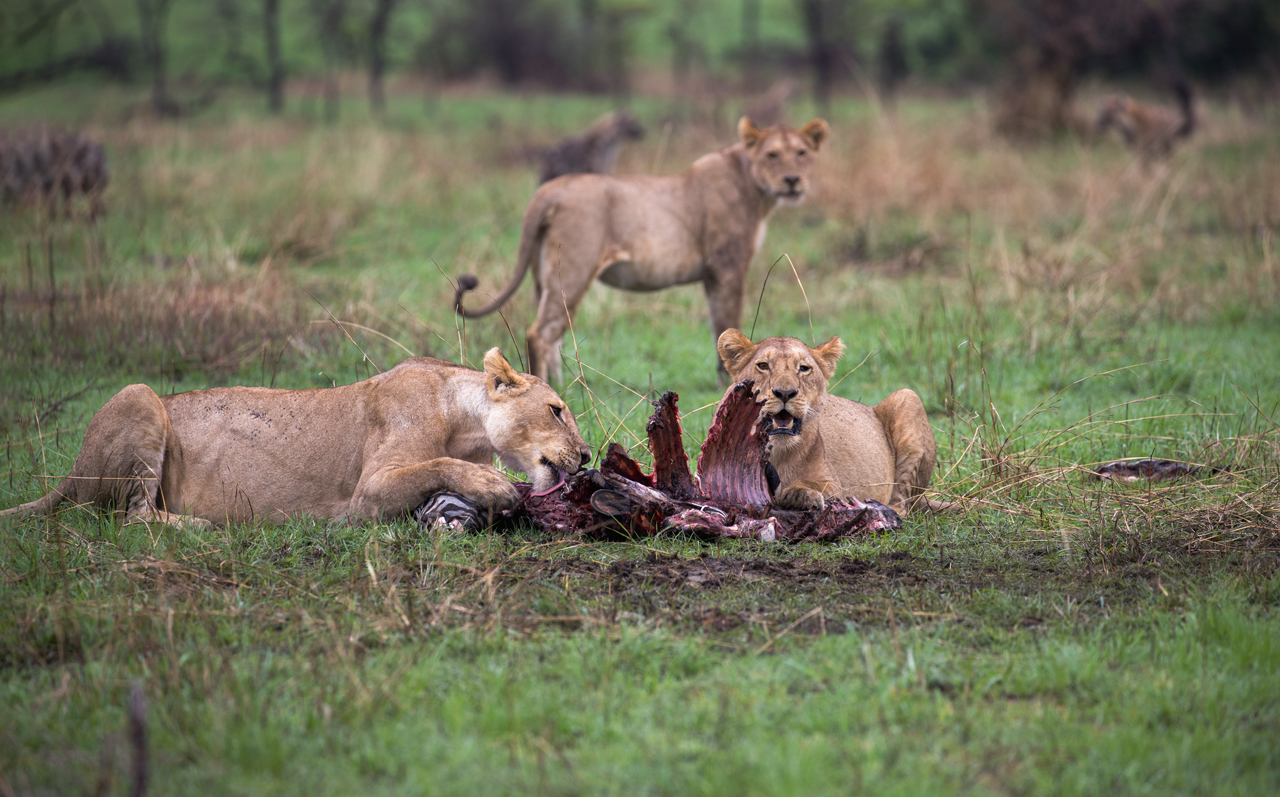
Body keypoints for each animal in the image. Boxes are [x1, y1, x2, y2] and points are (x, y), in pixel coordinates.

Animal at [0, 350, 588, 529]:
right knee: (132, 517)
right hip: (138, 394)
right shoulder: (366, 493)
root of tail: (70, 473)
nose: (585, 456)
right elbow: (435, 467)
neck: (465, 422)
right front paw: (494, 485)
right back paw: (203, 527)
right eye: (557, 410)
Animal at [458, 114, 829, 383]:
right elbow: (731, 326)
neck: (756, 189)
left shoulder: (713, 275)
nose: (792, 180)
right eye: (772, 155)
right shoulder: (728, 267)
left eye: (802, 153)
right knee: (540, 333)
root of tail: (547, 191)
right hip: (574, 271)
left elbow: (718, 330)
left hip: (543, 278)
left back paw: (562, 387)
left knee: (552, 335)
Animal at [721, 327, 942, 514]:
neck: (776, 450)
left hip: (908, 396)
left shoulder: (835, 485)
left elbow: (817, 485)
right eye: (763, 366)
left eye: (804, 368)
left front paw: (801, 493)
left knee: (902, 505)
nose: (785, 393)